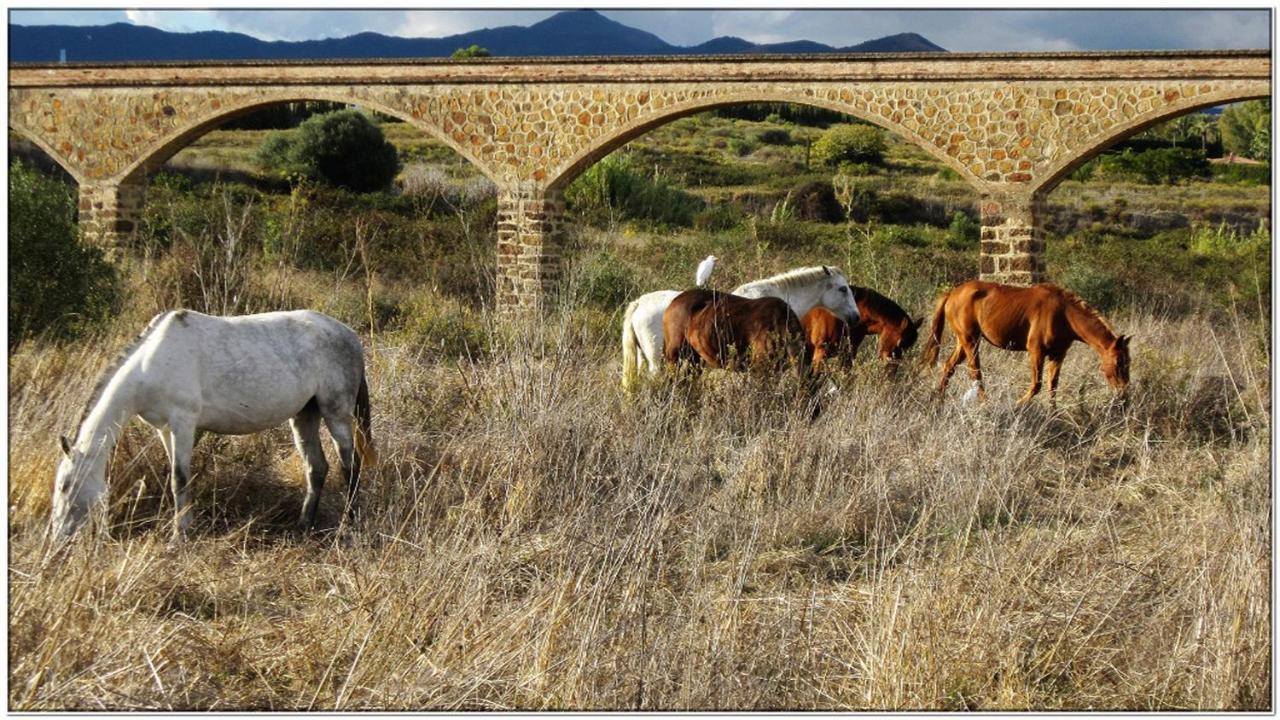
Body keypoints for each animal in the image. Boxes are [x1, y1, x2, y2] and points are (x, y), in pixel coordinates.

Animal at [55, 307, 373, 538]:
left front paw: (179, 536)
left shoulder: (183, 423)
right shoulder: (165, 430)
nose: (58, 539)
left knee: (350, 466)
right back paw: (304, 524)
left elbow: (179, 479)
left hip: (336, 413)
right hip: (305, 415)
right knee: (316, 468)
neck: (149, 367)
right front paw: (185, 526)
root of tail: (350, 335)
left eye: (66, 486)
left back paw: (348, 524)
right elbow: (178, 477)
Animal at [921, 280, 1131, 404]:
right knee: (975, 373)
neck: (1063, 314)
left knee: (949, 367)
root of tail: (951, 294)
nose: (1123, 394)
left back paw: (938, 398)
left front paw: (1052, 415)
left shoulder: (1057, 355)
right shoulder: (1036, 352)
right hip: (970, 341)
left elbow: (1052, 387)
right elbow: (1036, 385)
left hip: (964, 342)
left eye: (1128, 362)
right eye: (1118, 362)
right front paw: (1017, 406)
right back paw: (985, 403)